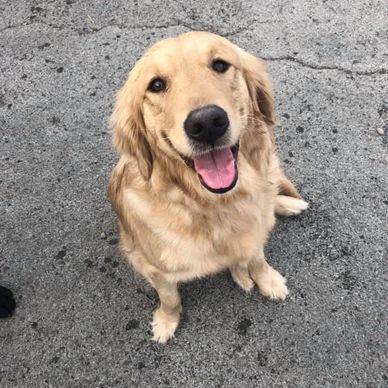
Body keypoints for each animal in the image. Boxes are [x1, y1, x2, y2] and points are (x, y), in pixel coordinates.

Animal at [107, 32, 308, 342]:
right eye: (156, 85)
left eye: (220, 65)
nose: (207, 123)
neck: (217, 205)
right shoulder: (154, 268)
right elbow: (170, 298)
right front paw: (167, 321)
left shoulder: (254, 231)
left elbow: (258, 258)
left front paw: (268, 280)